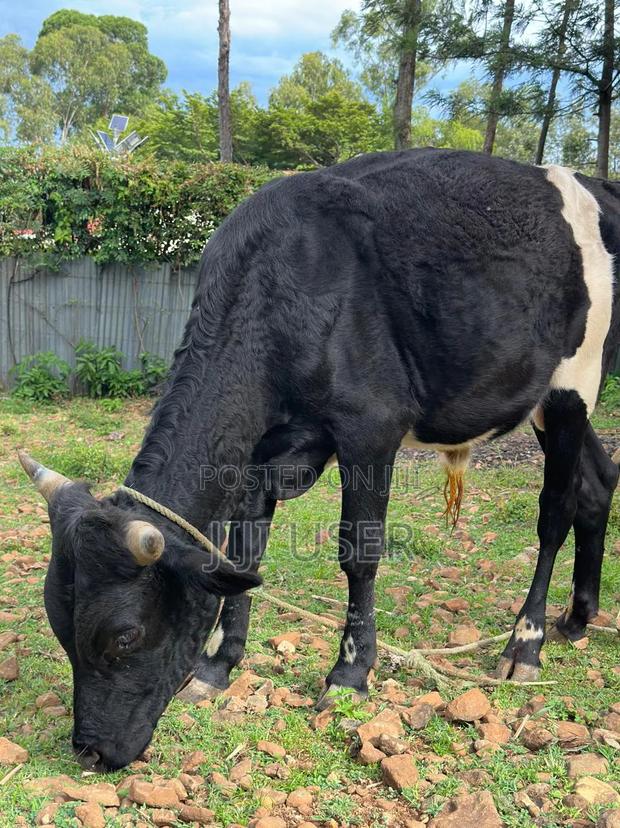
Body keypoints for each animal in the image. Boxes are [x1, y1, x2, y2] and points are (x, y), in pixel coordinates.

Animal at [18, 148, 620, 772]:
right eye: (59, 626)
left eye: (125, 636)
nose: (89, 751)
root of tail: (597, 185)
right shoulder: (259, 452)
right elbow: (243, 555)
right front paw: (216, 665)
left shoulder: (370, 428)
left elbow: (359, 553)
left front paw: (349, 674)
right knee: (599, 482)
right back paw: (578, 617)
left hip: (572, 387)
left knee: (556, 510)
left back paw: (527, 642)